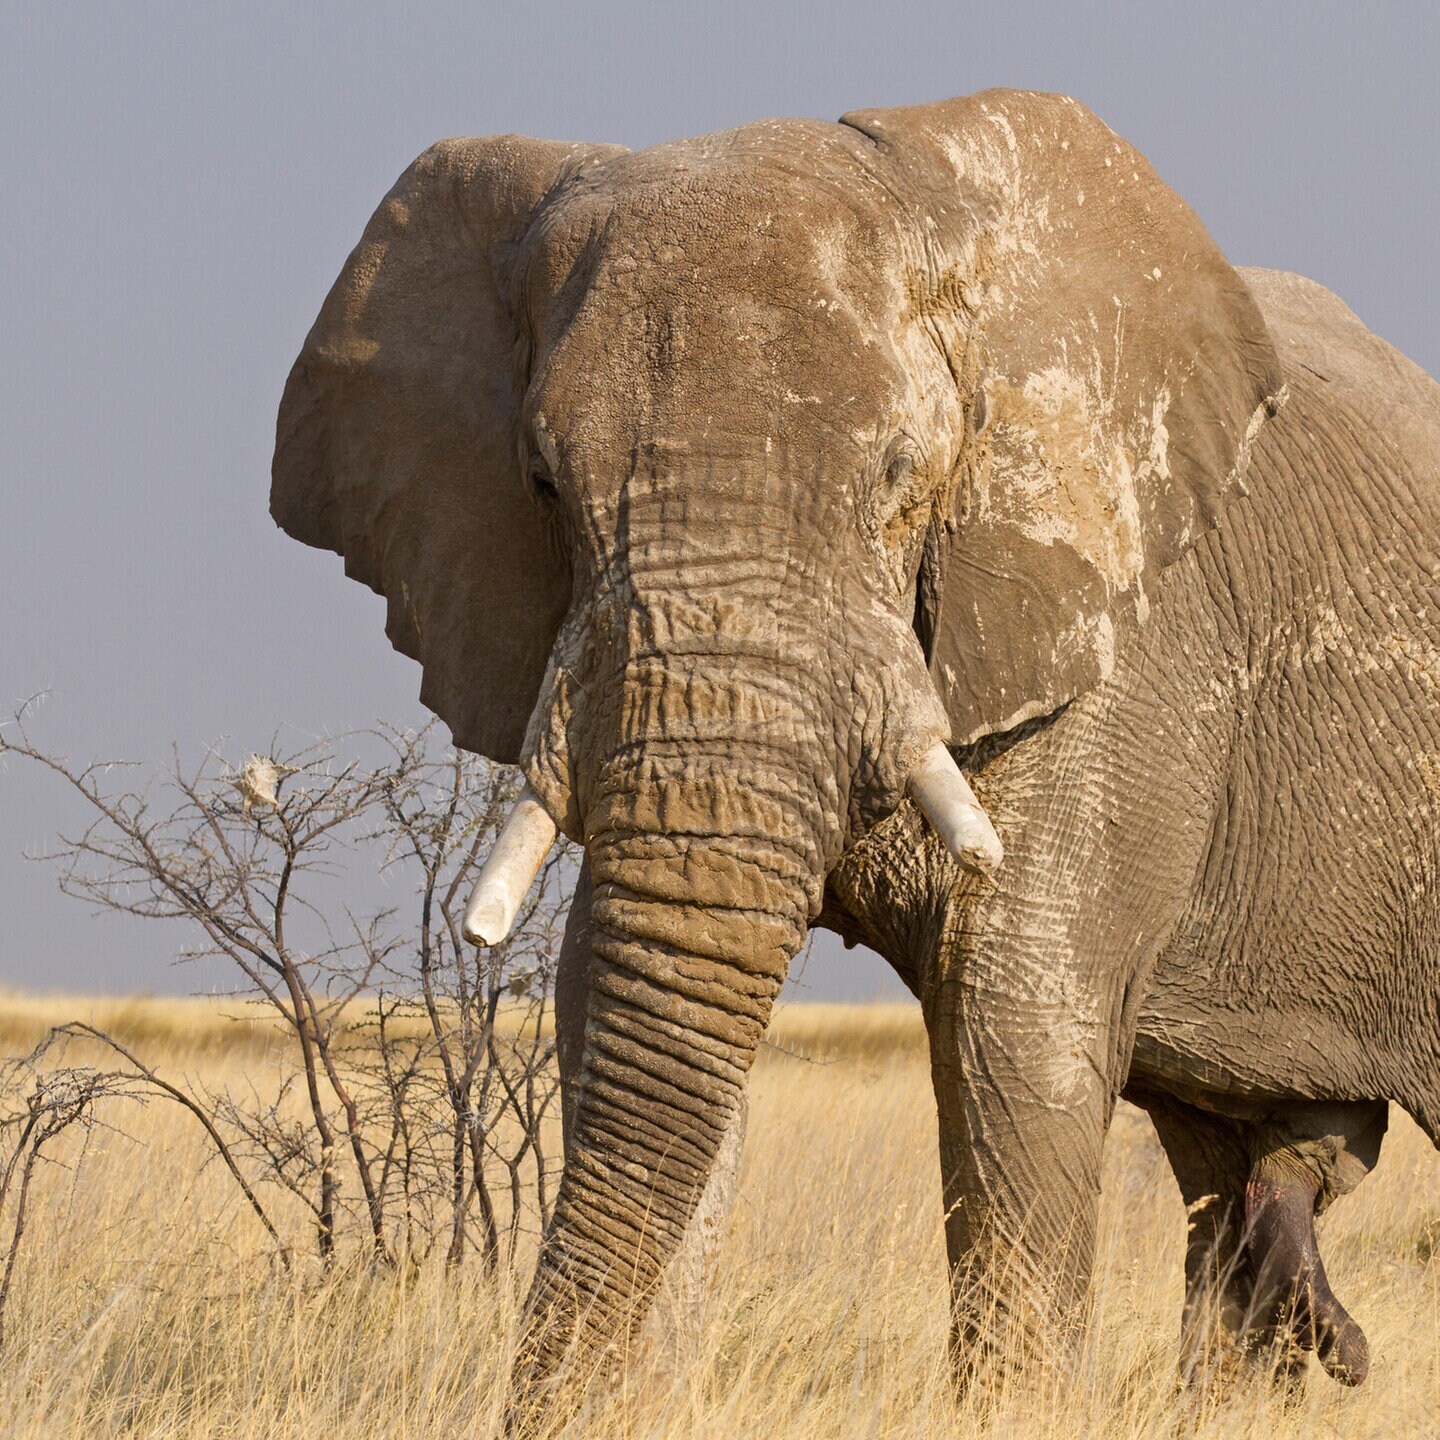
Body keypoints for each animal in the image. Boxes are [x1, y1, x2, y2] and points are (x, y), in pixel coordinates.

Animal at [270, 88, 1440, 1421]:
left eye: (901, 477)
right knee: (1223, 1177)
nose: (1356, 1354)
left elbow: (1016, 1029)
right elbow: (625, 1000)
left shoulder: (1127, 645)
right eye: (542, 484)